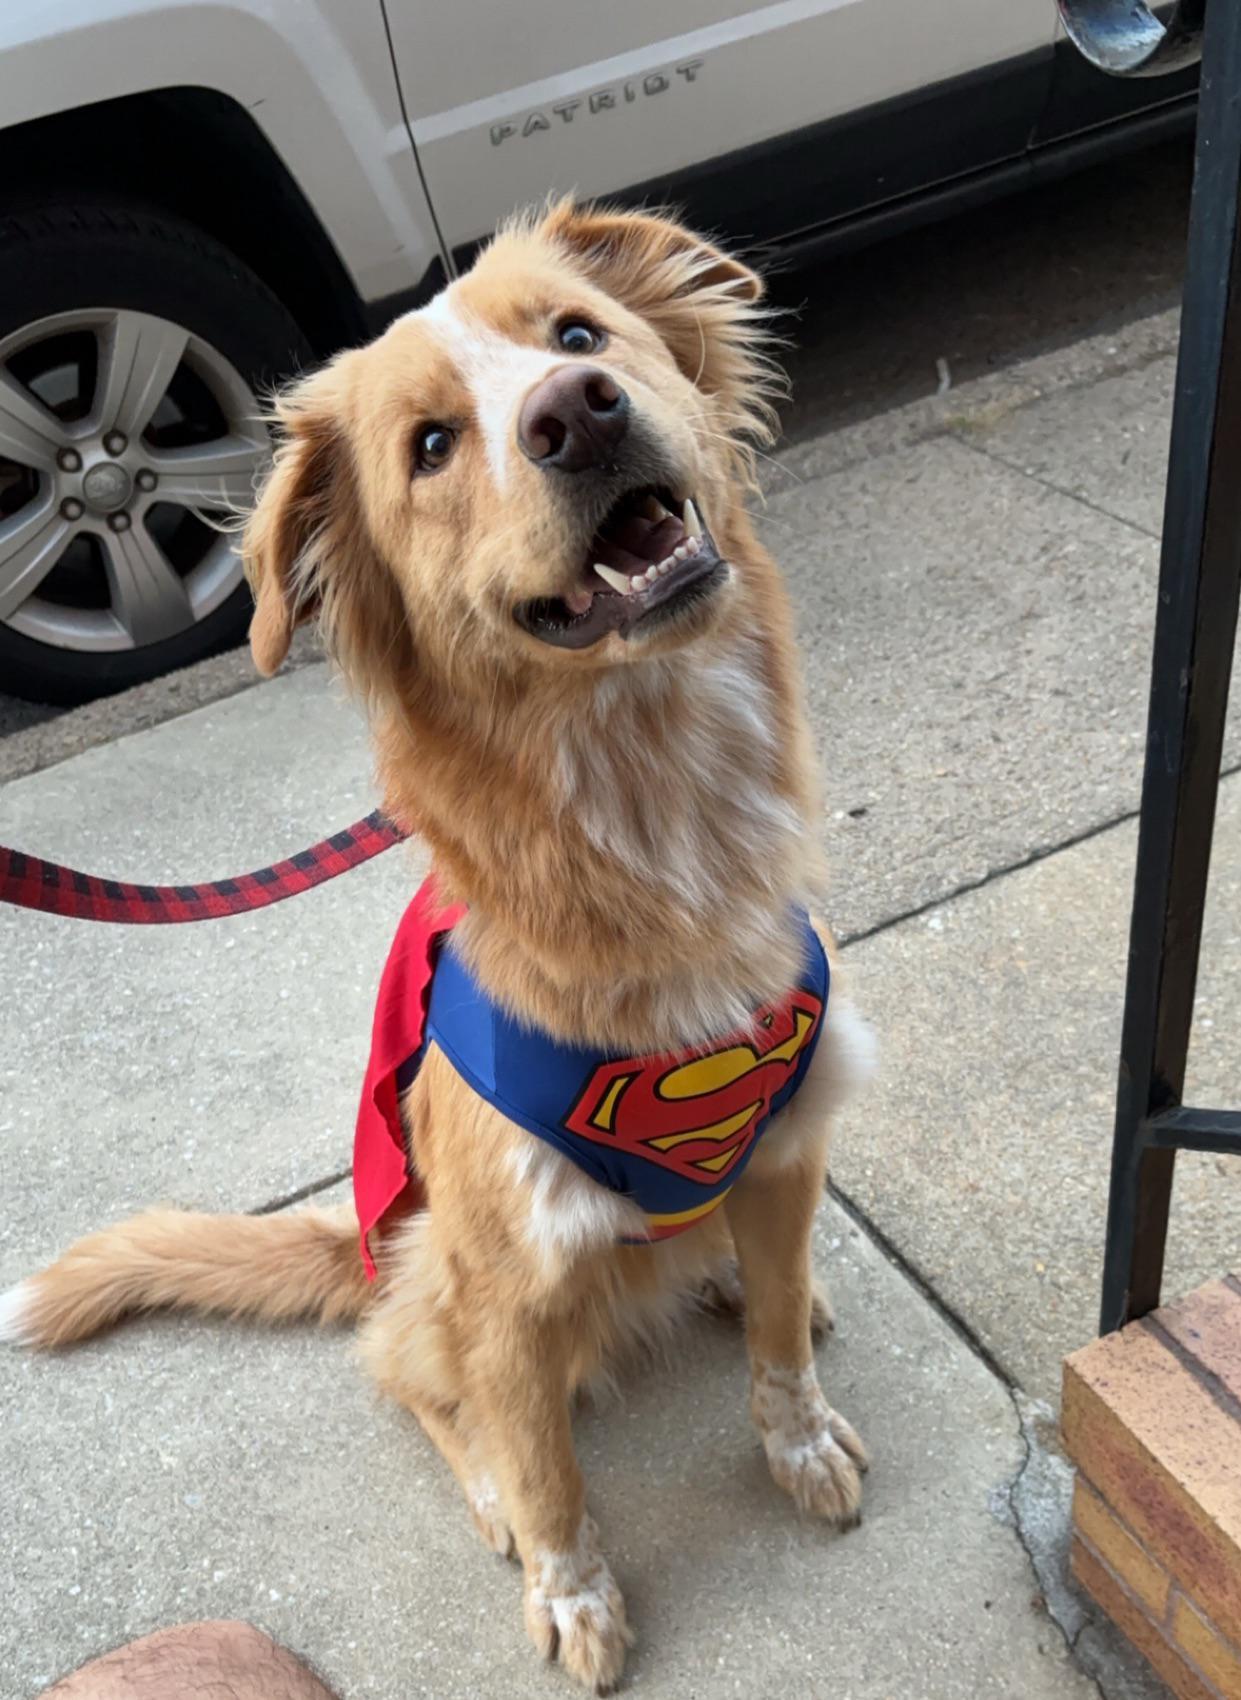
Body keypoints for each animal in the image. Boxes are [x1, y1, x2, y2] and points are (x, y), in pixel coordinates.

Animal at [0, 205, 870, 1693]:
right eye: (428, 447)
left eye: (577, 333)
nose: (578, 411)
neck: (652, 805)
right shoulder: (507, 1279)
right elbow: (548, 1468)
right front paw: (569, 1588)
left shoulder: (785, 1144)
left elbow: (774, 1351)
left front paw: (795, 1428)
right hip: (423, 1271)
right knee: (404, 1367)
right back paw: (485, 1481)